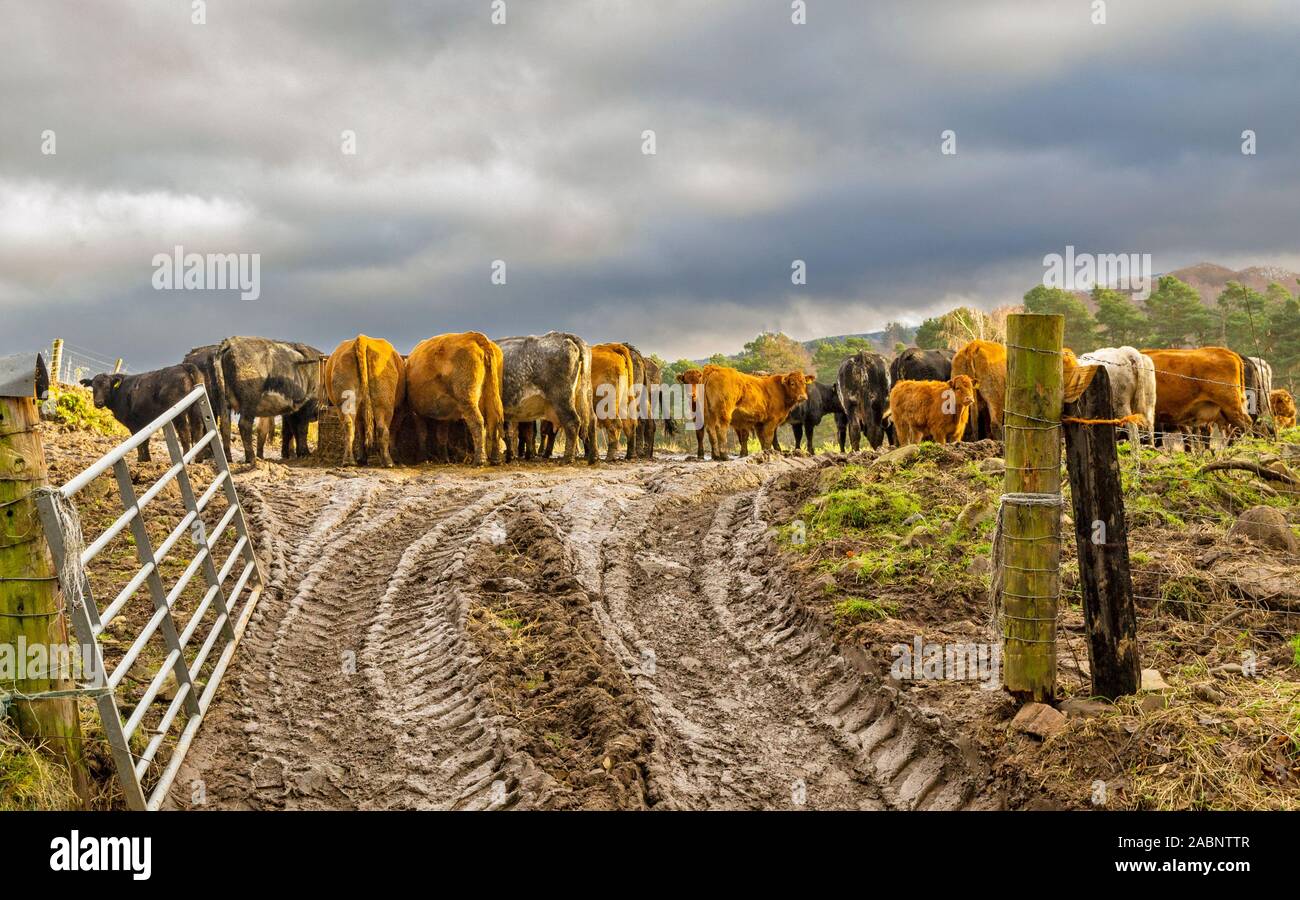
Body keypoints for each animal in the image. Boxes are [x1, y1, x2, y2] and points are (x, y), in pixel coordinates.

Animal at [325, 332, 405, 468]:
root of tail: (363, 339)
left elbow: (361, 430)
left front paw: (362, 458)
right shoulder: (399, 408)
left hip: (346, 395)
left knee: (349, 425)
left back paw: (349, 461)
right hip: (384, 400)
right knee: (382, 427)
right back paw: (388, 461)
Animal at [408, 331, 504, 470]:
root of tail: (474, 336)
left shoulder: (416, 411)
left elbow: (422, 433)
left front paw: (422, 458)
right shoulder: (443, 414)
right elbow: (442, 434)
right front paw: (444, 458)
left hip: (467, 398)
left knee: (477, 422)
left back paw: (479, 460)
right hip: (492, 394)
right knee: (493, 421)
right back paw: (496, 459)